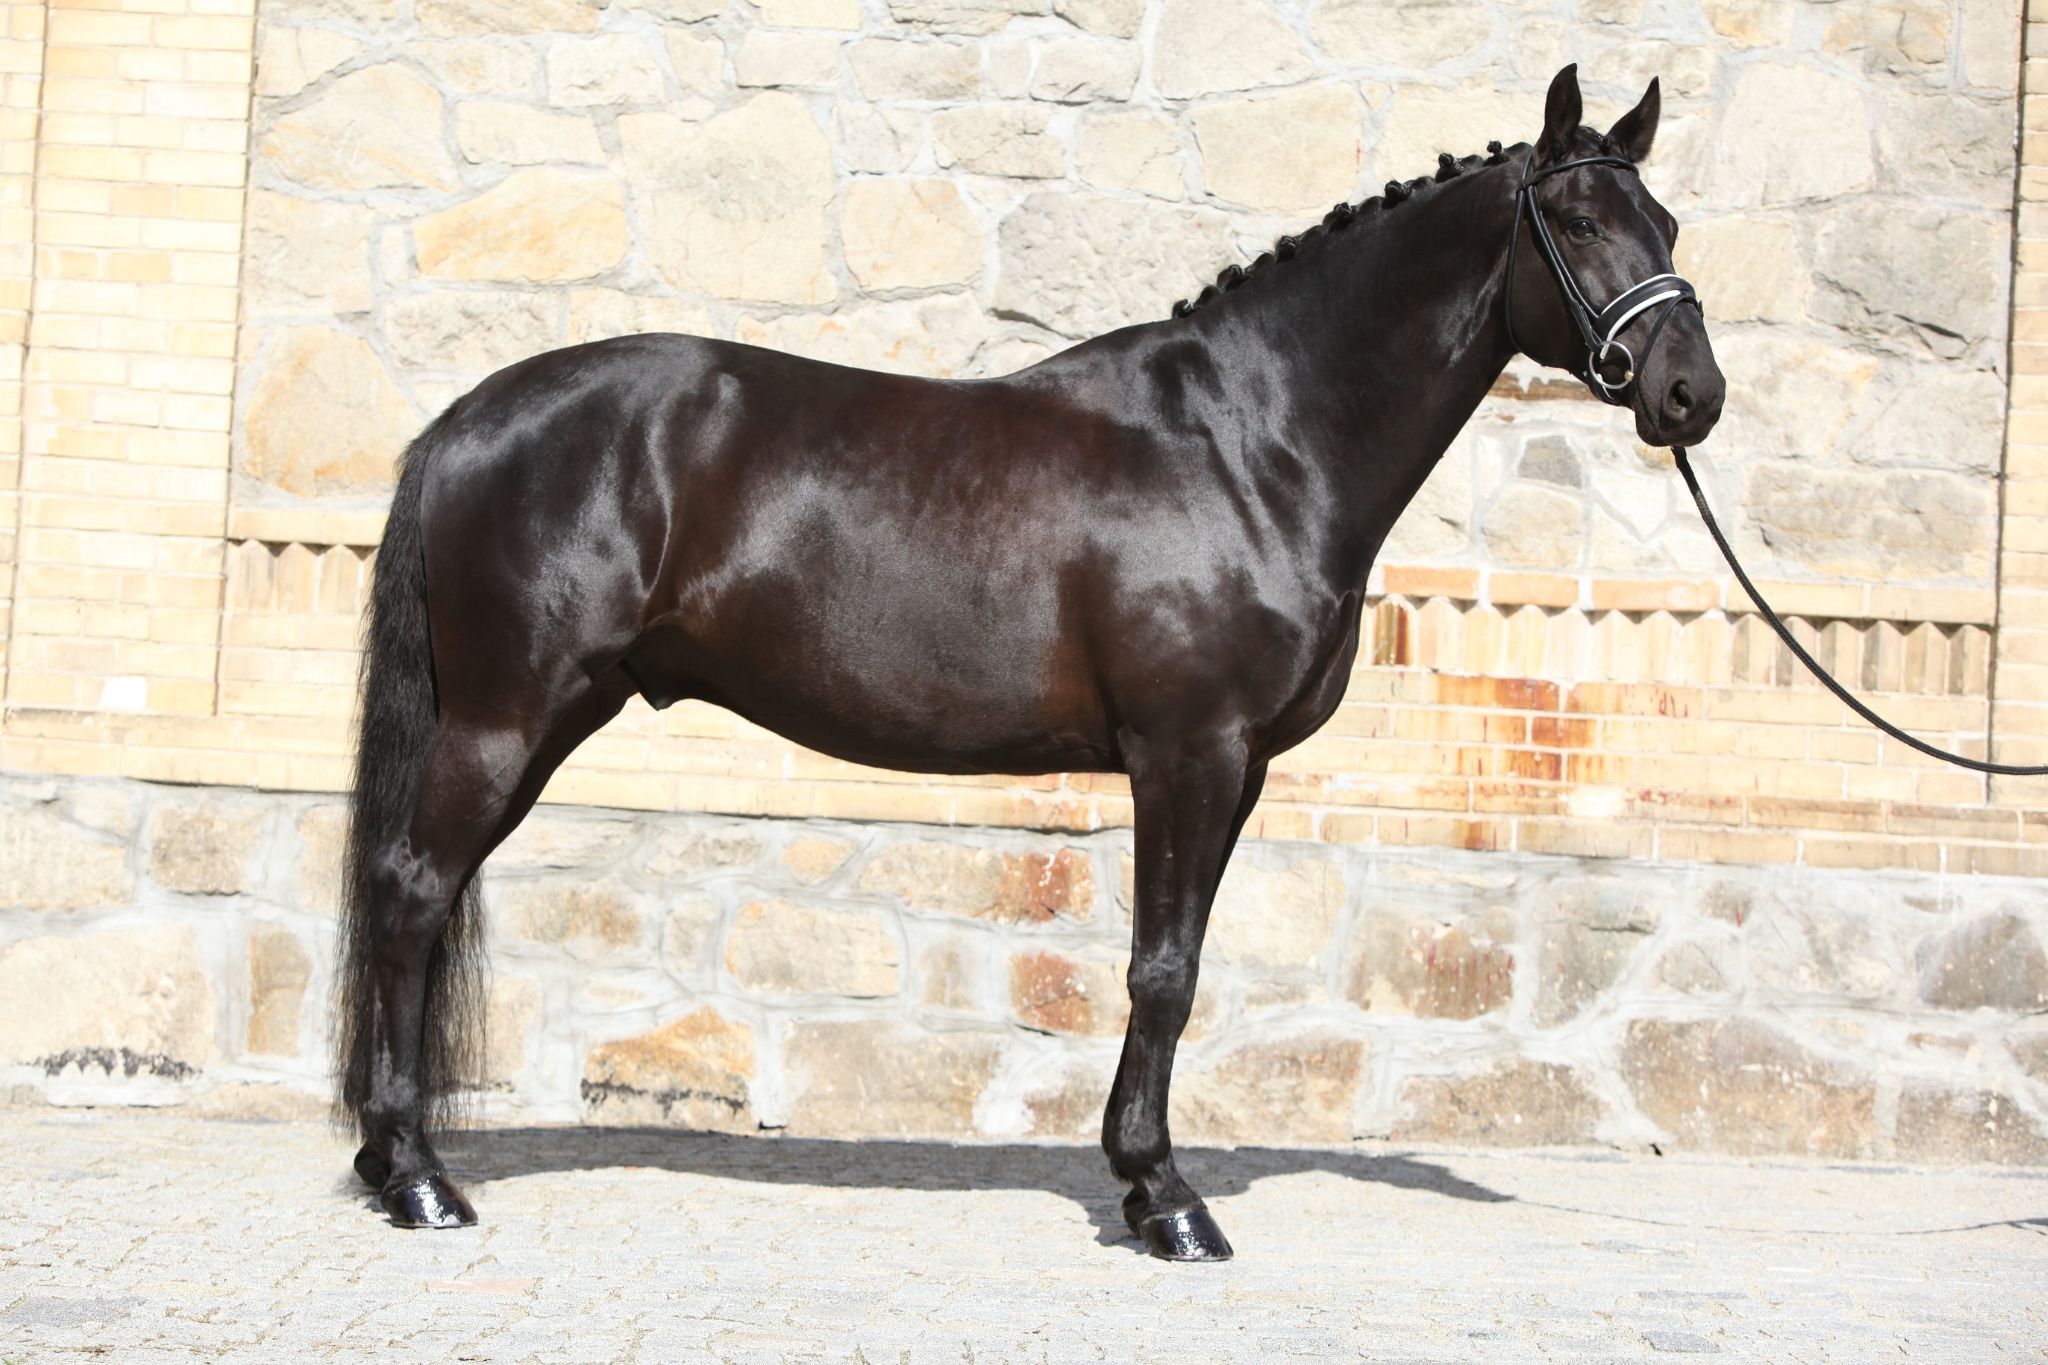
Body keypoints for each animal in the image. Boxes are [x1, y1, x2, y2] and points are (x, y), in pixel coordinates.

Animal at [337, 64, 1725, 1261]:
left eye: (1666, 219)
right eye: (1581, 220)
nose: (1688, 394)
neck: (1250, 446)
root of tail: (464, 420)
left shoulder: (1237, 773)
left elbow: (1181, 961)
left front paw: (1143, 1178)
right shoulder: (1185, 755)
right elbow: (1160, 973)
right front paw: (1164, 1199)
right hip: (509, 716)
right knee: (410, 891)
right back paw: (415, 1178)